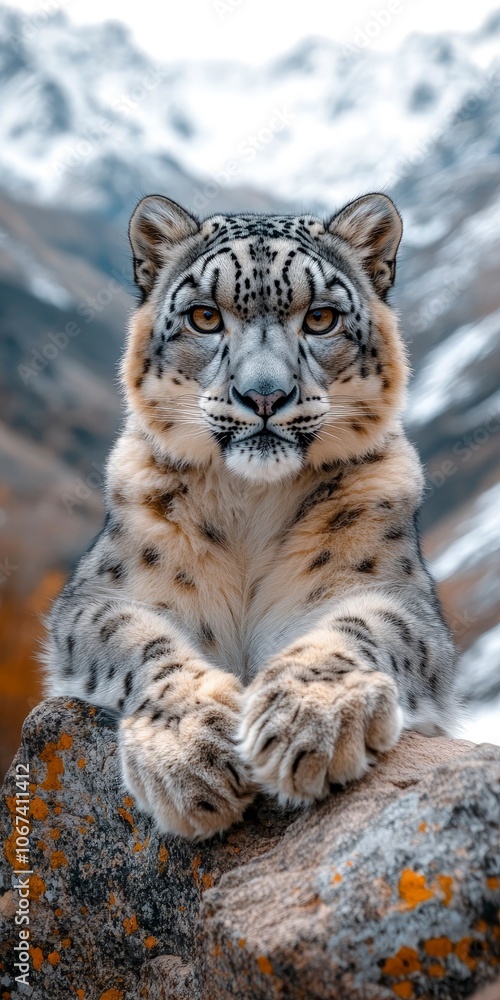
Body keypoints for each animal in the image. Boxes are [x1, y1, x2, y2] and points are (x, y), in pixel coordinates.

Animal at [44, 191, 458, 840]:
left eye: (320, 318)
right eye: (205, 317)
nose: (264, 395)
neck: (251, 509)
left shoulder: (392, 591)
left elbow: (363, 626)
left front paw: (307, 723)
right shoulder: (104, 593)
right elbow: (133, 639)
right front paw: (190, 756)